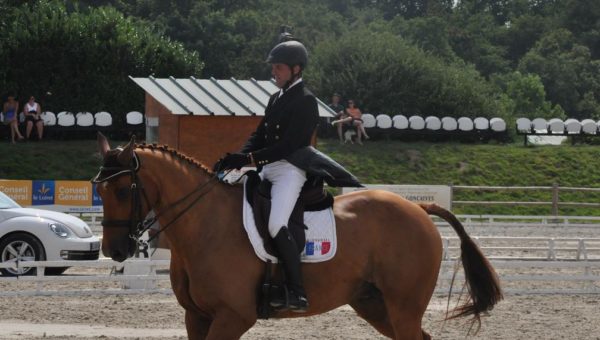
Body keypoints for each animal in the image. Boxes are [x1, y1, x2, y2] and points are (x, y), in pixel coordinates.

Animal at [94, 134, 502, 338]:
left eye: (123, 191)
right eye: (99, 189)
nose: (114, 250)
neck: (204, 224)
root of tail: (419, 209)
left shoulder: (233, 316)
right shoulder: (196, 317)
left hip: (403, 307)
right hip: (374, 304)